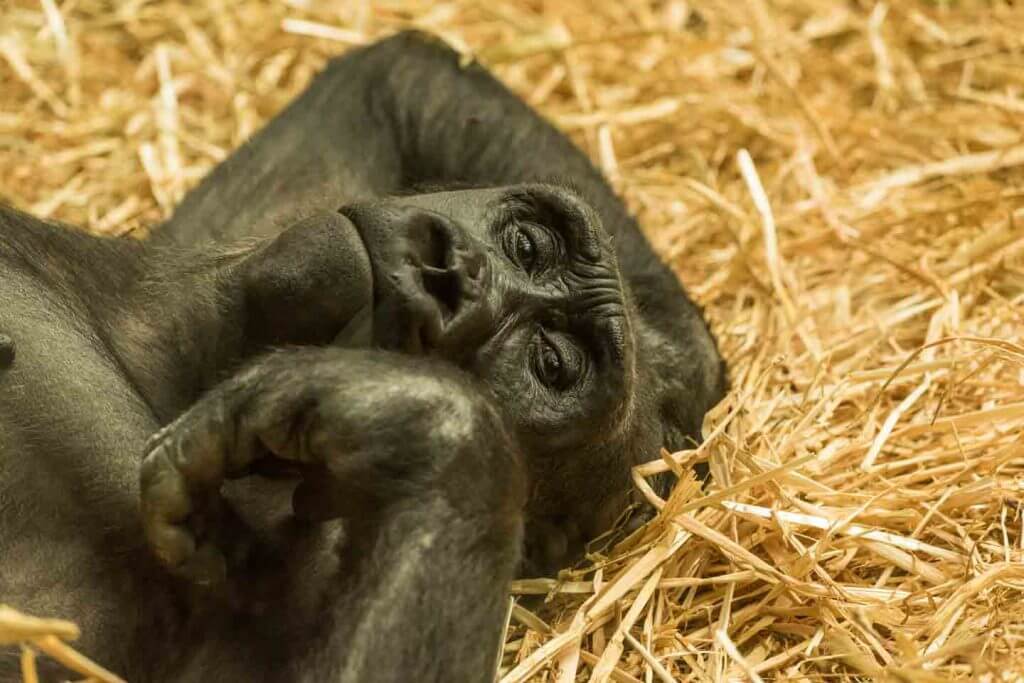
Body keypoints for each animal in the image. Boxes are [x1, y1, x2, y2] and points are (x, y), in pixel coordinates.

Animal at [0, 31, 720, 683]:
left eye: (550, 364)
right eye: (529, 245)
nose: (450, 273)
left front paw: (406, 412)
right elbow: (401, 70)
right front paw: (689, 367)